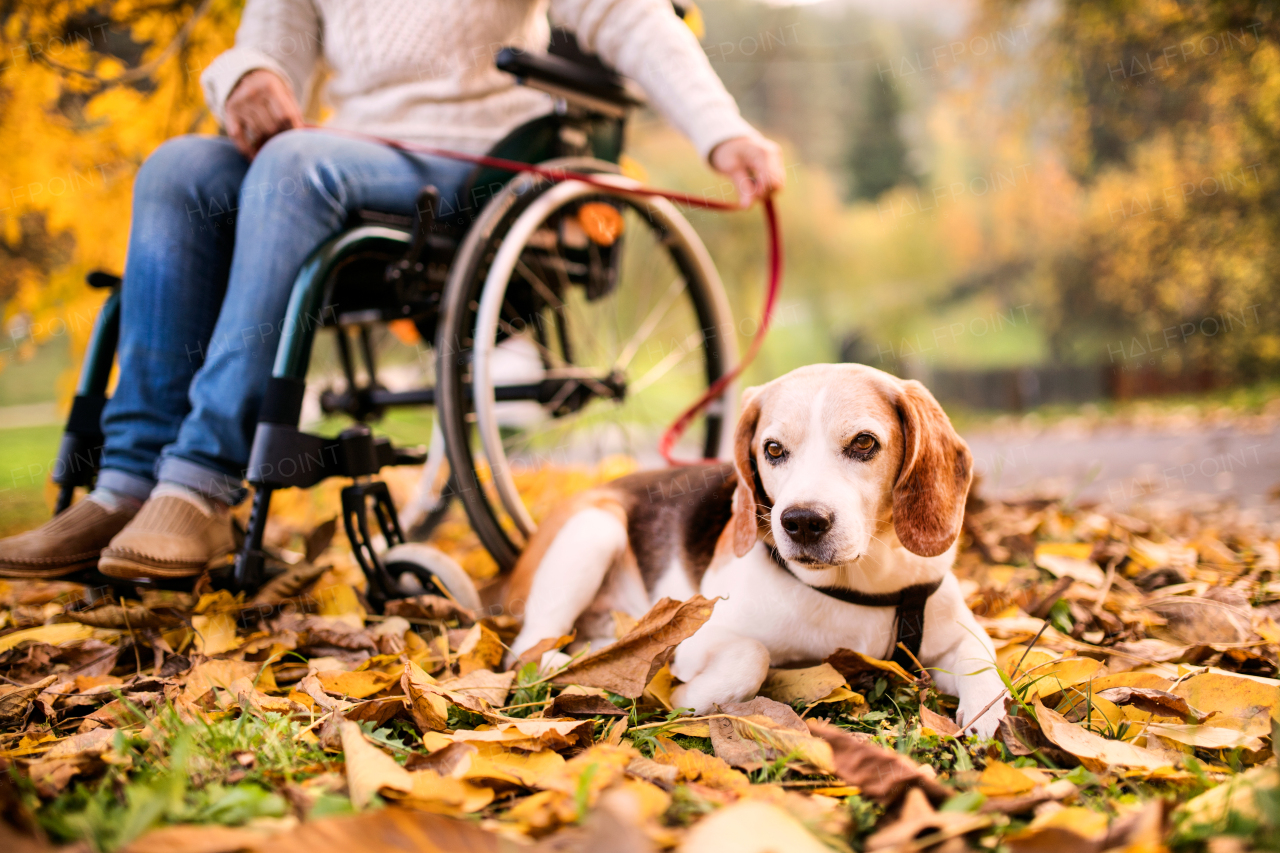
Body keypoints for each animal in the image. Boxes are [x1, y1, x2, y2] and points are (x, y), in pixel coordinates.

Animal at [504, 361, 1003, 732]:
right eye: (774, 449)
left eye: (864, 442)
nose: (802, 522)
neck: (857, 582)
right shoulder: (699, 632)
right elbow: (751, 657)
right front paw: (683, 694)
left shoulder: (950, 629)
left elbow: (984, 656)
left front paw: (988, 714)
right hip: (594, 529)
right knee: (528, 649)